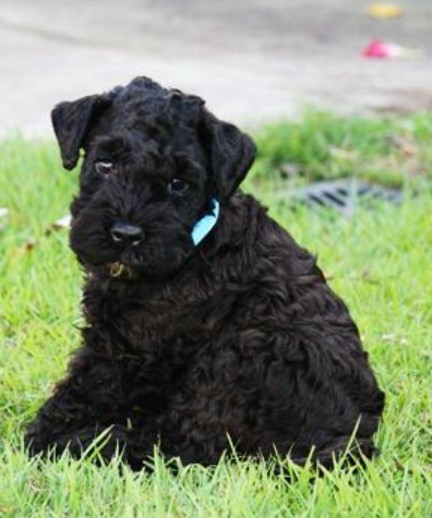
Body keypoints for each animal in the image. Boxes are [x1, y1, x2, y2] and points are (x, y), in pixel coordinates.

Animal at [24, 77, 384, 472]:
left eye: (178, 183)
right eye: (105, 164)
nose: (126, 235)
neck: (197, 241)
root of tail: (348, 439)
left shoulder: (125, 348)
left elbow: (82, 388)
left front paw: (41, 436)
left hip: (239, 355)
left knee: (184, 446)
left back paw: (93, 444)